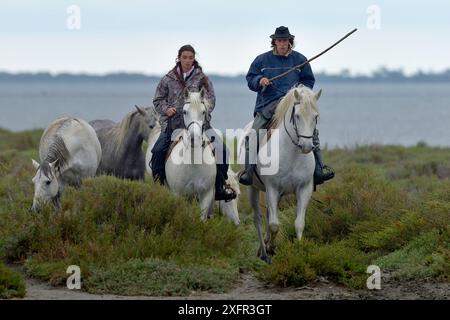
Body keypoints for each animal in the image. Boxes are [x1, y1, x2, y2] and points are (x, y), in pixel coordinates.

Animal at [147, 89, 217, 221]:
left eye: (203, 112)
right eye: (185, 111)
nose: (194, 138)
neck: (194, 164)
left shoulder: (206, 195)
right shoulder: (179, 194)